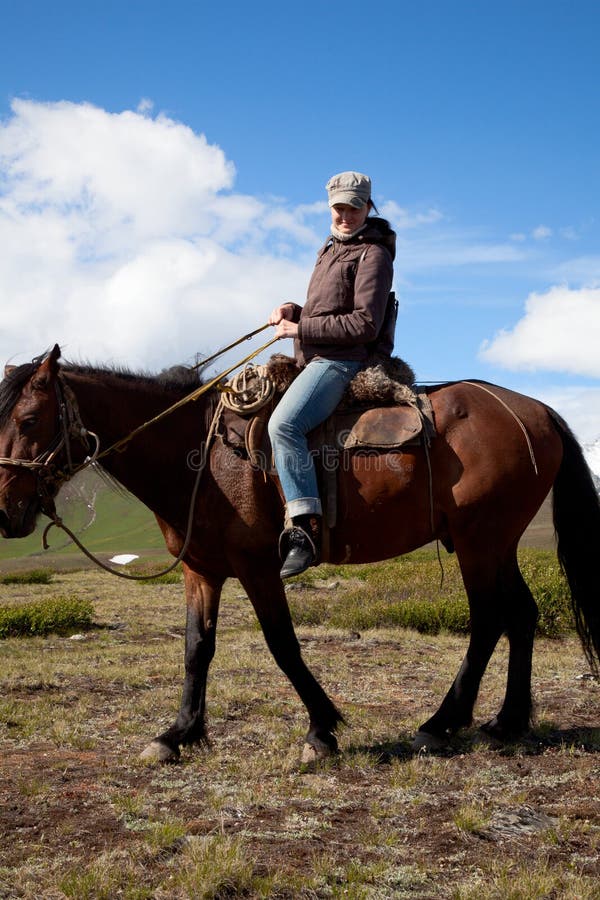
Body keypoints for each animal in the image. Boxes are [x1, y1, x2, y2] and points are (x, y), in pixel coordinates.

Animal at [0, 342, 596, 764]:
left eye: (28, 421)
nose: (6, 513)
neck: (197, 457)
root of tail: (540, 410)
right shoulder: (201, 569)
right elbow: (196, 649)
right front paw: (178, 734)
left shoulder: (258, 566)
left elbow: (283, 645)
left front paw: (321, 730)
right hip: (498, 542)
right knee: (523, 614)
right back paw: (507, 722)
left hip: (479, 541)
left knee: (489, 619)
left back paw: (440, 724)